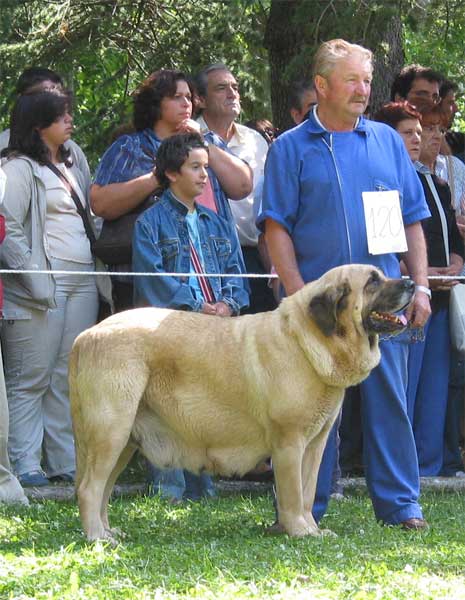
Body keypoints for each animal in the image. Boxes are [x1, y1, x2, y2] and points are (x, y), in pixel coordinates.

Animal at [70, 264, 414, 540]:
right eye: (372, 282)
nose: (411, 283)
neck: (308, 341)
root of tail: (85, 337)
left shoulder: (314, 446)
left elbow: (307, 492)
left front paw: (312, 529)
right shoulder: (289, 444)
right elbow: (292, 494)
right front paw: (299, 531)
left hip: (123, 442)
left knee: (102, 490)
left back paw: (108, 531)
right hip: (111, 432)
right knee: (89, 489)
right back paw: (97, 537)